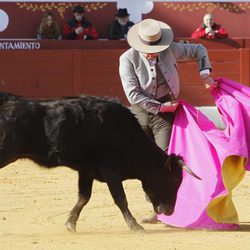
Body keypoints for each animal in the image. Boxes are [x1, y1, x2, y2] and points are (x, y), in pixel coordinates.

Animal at [0, 93, 186, 231]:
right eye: (175, 180)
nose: (170, 211)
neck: (123, 133)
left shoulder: (86, 171)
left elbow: (84, 197)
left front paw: (70, 224)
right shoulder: (111, 172)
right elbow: (121, 199)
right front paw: (135, 226)